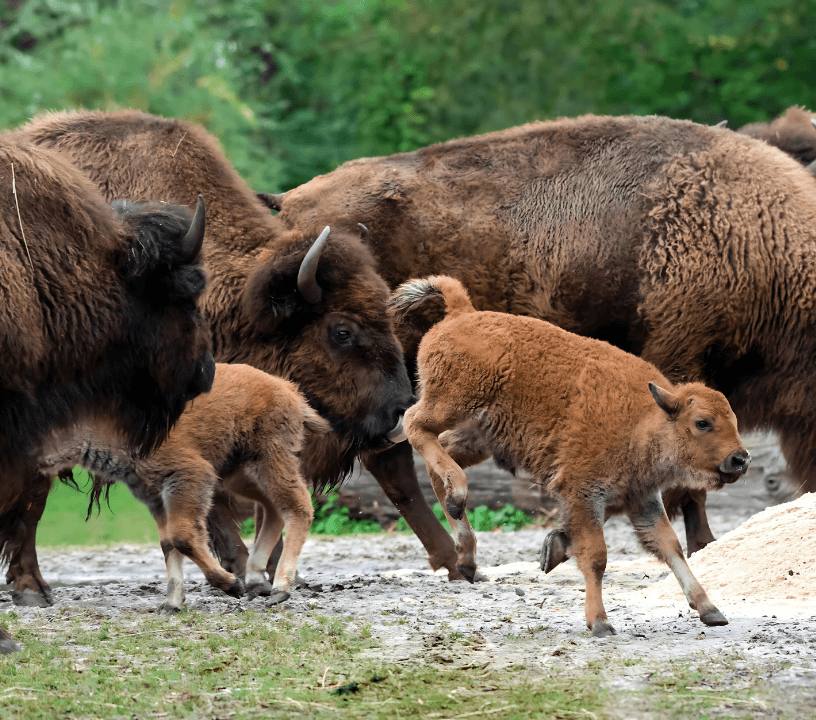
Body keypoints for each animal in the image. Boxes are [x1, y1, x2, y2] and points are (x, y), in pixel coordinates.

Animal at [39, 366, 330, 612]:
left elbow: (183, 537)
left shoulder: (189, 477)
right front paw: (171, 604)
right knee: (273, 507)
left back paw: (280, 589)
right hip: (238, 474)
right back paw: (257, 581)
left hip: (270, 459)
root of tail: (289, 390)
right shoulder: (156, 497)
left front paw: (232, 585)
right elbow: (168, 543)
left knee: (297, 506)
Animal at [396, 276, 752, 636]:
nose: (741, 460)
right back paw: (458, 498)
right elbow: (597, 555)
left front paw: (710, 609)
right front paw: (600, 622)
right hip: (450, 406)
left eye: (733, 420)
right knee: (414, 425)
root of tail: (462, 312)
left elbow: (670, 547)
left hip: (479, 437)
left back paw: (466, 554)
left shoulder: (640, 499)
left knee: (437, 453)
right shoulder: (584, 492)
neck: (646, 417)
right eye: (702, 422)